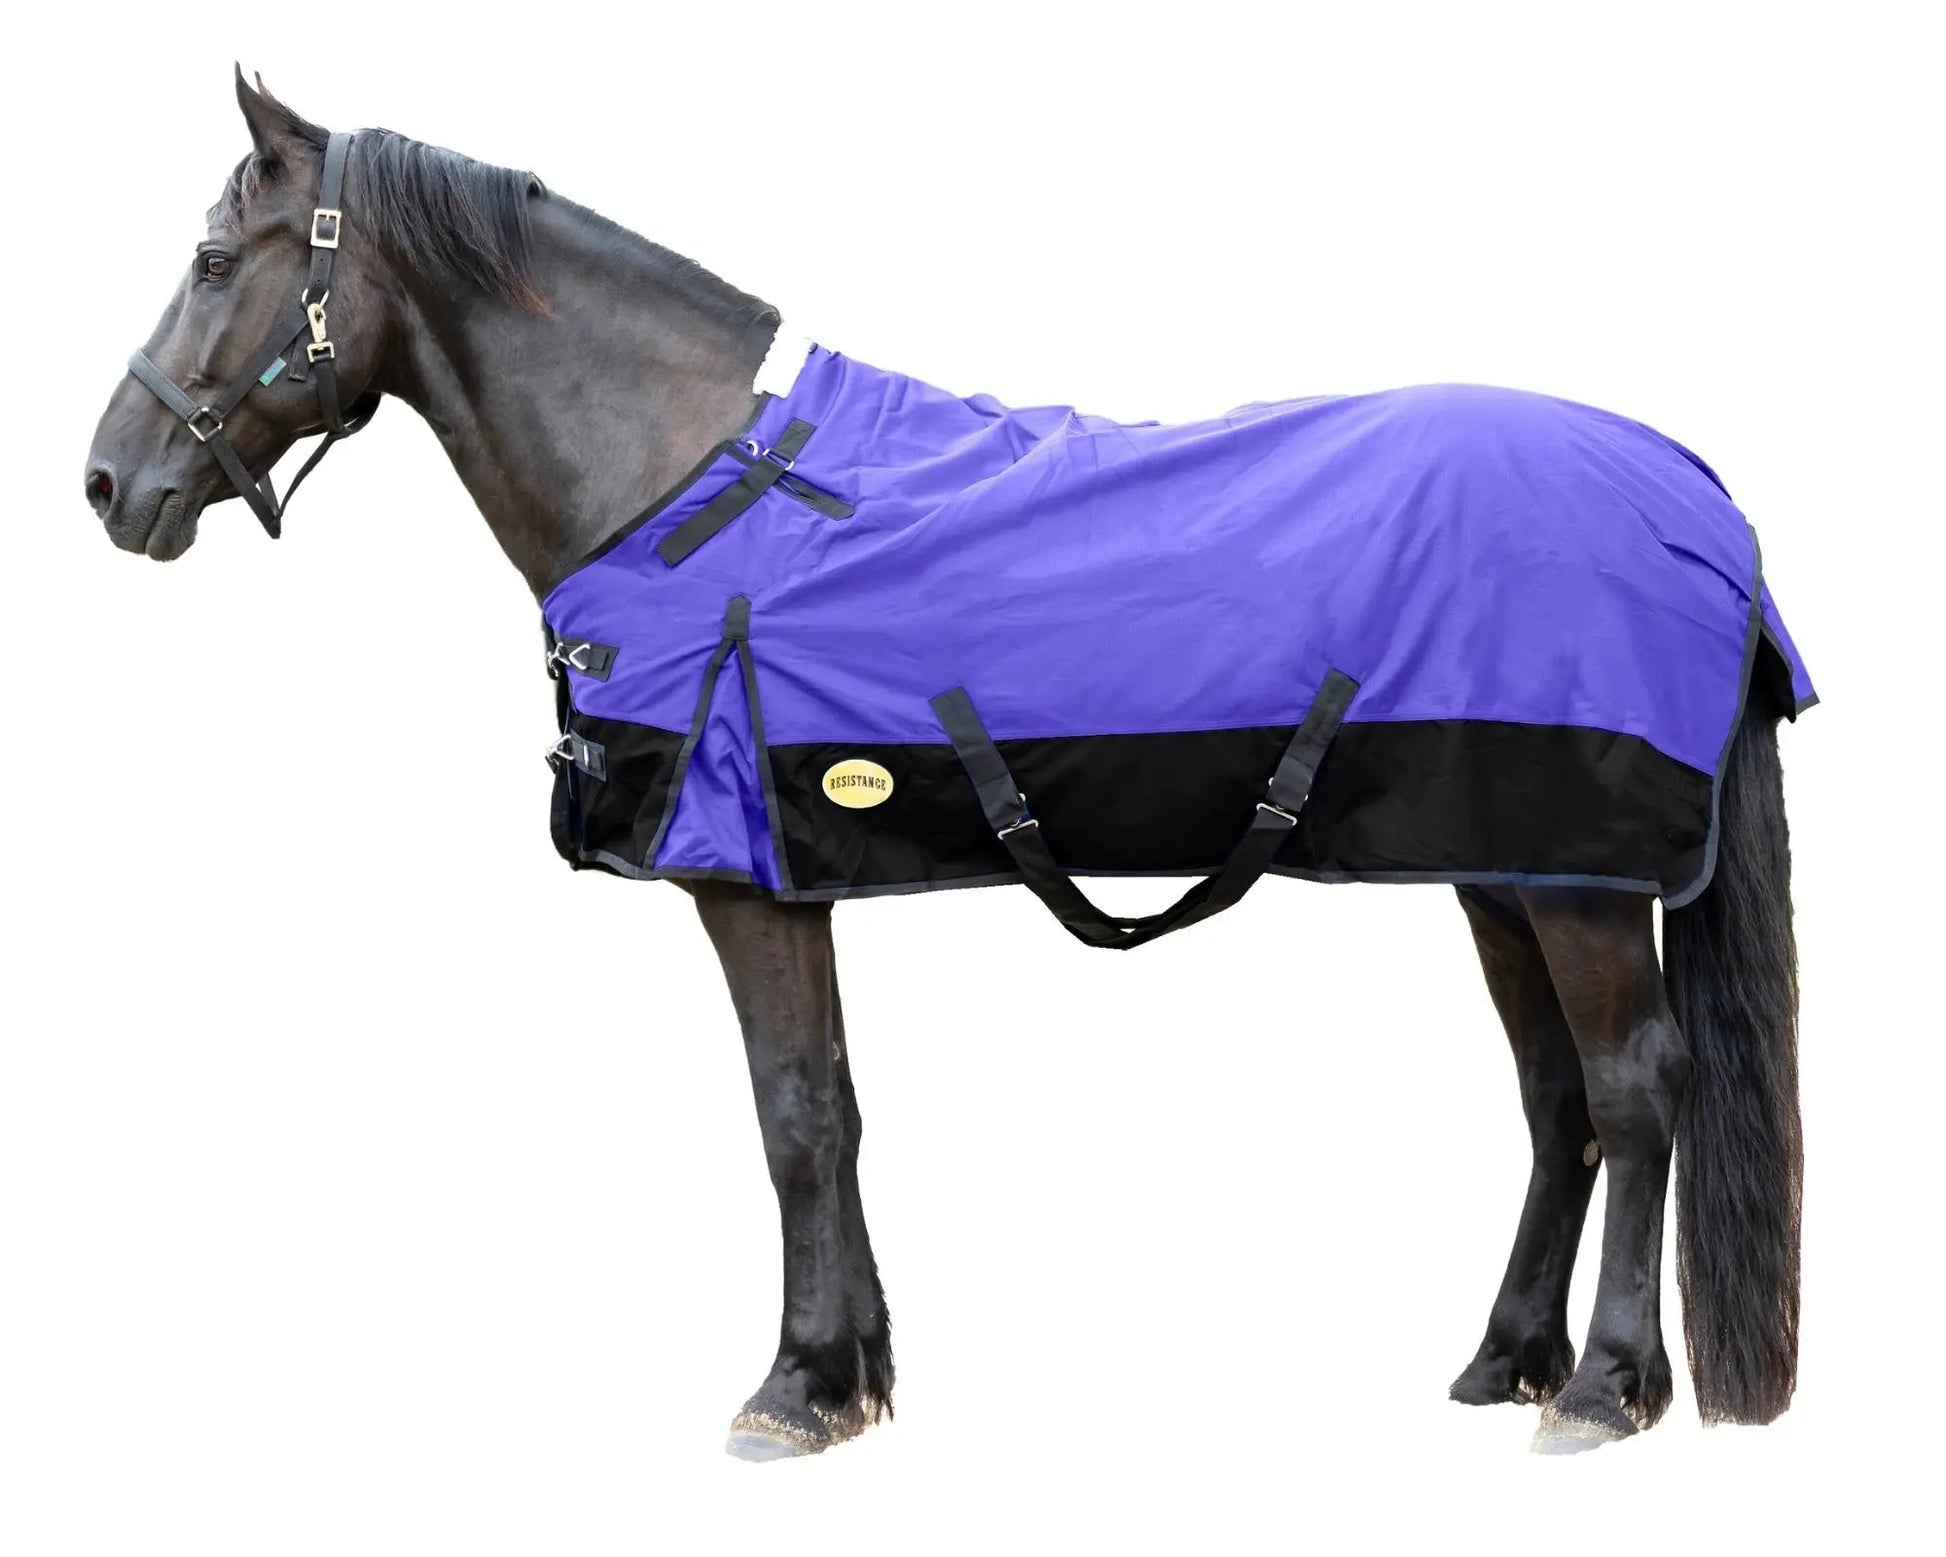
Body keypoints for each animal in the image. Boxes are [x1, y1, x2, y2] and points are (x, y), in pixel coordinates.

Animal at [82, 72, 1807, 1459]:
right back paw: (1505, 1360)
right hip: (1503, 867)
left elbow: (789, 1116)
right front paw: (853, 1375)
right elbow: (836, 1109)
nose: (108, 481)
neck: (683, 483)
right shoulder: (794, 878)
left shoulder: (741, 883)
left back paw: (1604, 1388)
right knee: (1554, 1095)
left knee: (1634, 1088)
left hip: (1578, 883)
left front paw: (790, 1389)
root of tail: (1691, 486)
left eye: (213, 262)